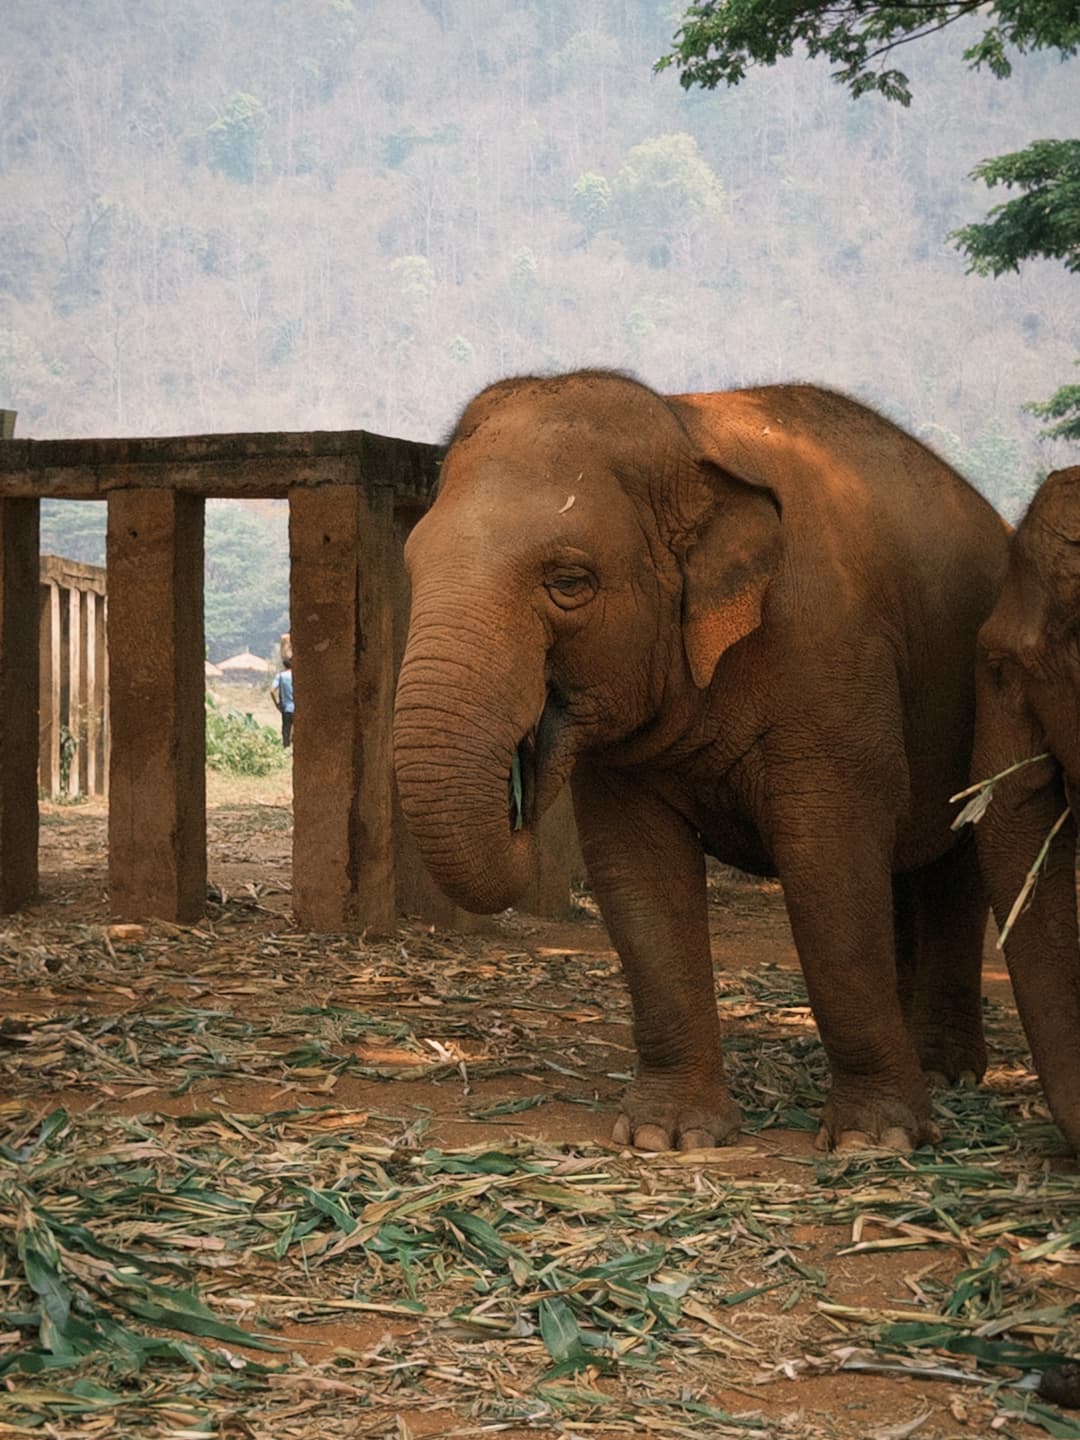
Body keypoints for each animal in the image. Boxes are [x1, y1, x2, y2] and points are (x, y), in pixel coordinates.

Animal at [393, 370, 1009, 1152]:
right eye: (412, 566)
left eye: (570, 582)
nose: (522, 778)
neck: (686, 434)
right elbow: (639, 875)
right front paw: (666, 1136)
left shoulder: (831, 663)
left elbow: (830, 865)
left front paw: (875, 1140)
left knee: (954, 875)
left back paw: (947, 1072)